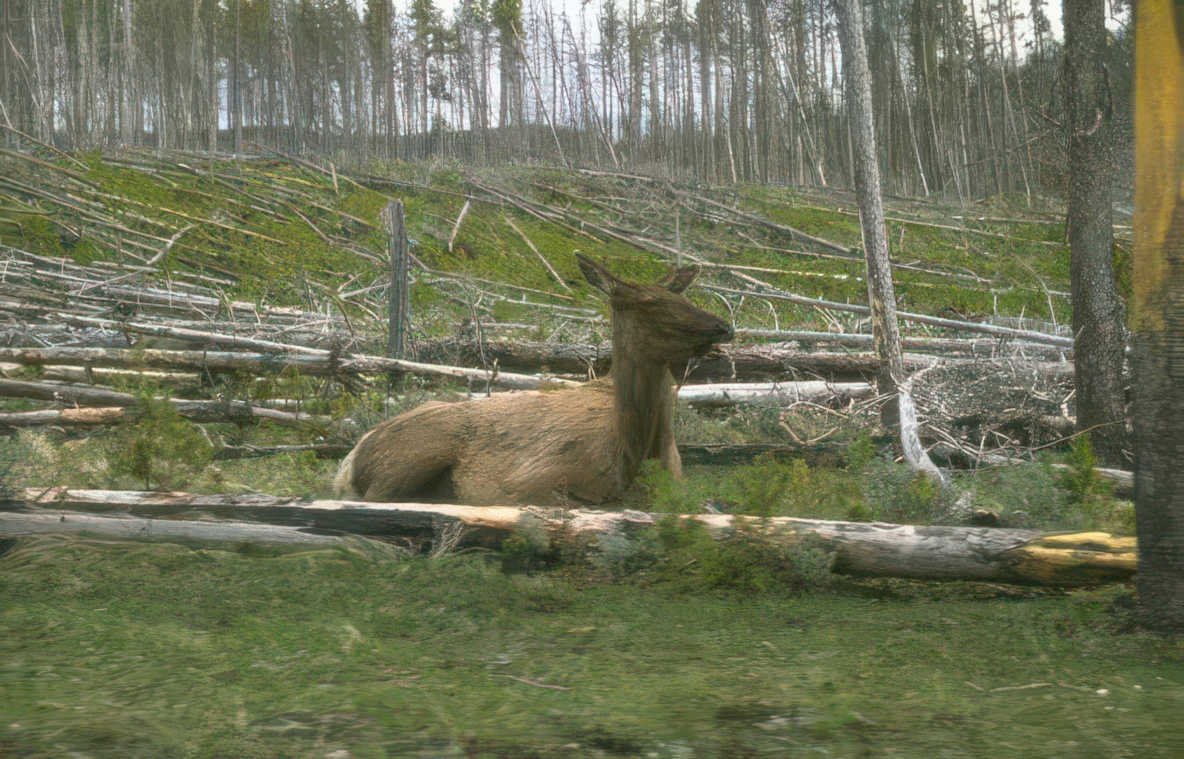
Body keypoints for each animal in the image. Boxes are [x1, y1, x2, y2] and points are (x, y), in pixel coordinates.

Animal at [333, 254, 733, 506]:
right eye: (648, 303)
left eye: (681, 297)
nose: (722, 325)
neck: (635, 451)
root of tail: (352, 456)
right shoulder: (527, 483)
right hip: (413, 455)